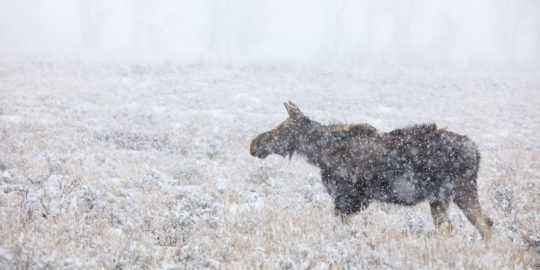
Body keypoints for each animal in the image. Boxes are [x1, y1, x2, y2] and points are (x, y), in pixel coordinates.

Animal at [249, 101, 494, 240]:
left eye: (283, 129)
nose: (255, 144)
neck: (320, 154)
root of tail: (477, 152)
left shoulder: (350, 197)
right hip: (448, 195)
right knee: (477, 224)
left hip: (453, 191)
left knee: (472, 225)